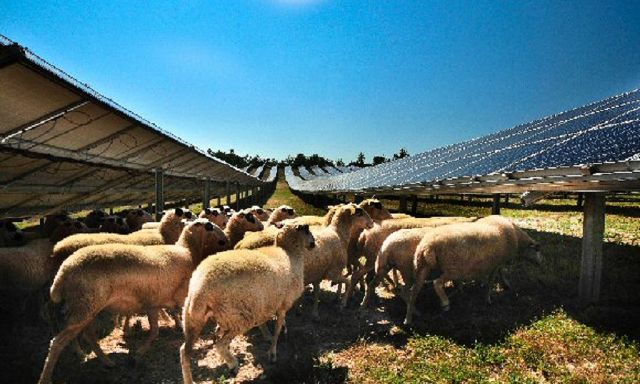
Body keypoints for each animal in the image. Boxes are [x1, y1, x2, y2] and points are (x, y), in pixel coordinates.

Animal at [37, 219, 228, 384]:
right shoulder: (174, 299)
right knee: (58, 342)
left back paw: (106, 361)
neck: (187, 251)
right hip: (83, 307)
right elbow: (160, 328)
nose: (225, 240)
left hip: (85, 307)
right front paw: (140, 352)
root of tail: (62, 273)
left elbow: (157, 328)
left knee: (87, 334)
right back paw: (46, 377)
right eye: (210, 226)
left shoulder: (153, 303)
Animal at [180, 222, 316, 380]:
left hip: (192, 317)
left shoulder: (263, 304)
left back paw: (189, 379)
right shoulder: (282, 304)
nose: (314, 243)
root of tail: (200, 288)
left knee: (185, 351)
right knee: (220, 345)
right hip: (239, 317)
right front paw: (273, 352)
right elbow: (276, 329)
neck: (290, 254)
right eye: (307, 230)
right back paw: (233, 364)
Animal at [404, 216, 540, 324]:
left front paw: (497, 284)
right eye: (537, 250)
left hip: (422, 267)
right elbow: (492, 280)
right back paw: (445, 303)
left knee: (413, 292)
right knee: (436, 283)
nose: (540, 263)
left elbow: (491, 276)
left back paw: (408, 318)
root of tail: (428, 245)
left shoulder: (487, 263)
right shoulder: (496, 264)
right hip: (452, 269)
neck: (517, 236)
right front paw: (488, 298)